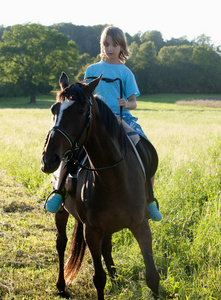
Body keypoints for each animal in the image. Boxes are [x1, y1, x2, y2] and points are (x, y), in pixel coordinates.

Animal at [41, 73, 159, 300]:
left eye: (80, 111)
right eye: (53, 109)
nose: (48, 159)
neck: (114, 177)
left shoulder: (141, 226)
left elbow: (152, 277)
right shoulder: (92, 232)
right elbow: (99, 279)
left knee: (107, 247)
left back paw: (115, 278)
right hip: (62, 212)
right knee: (61, 243)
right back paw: (61, 285)